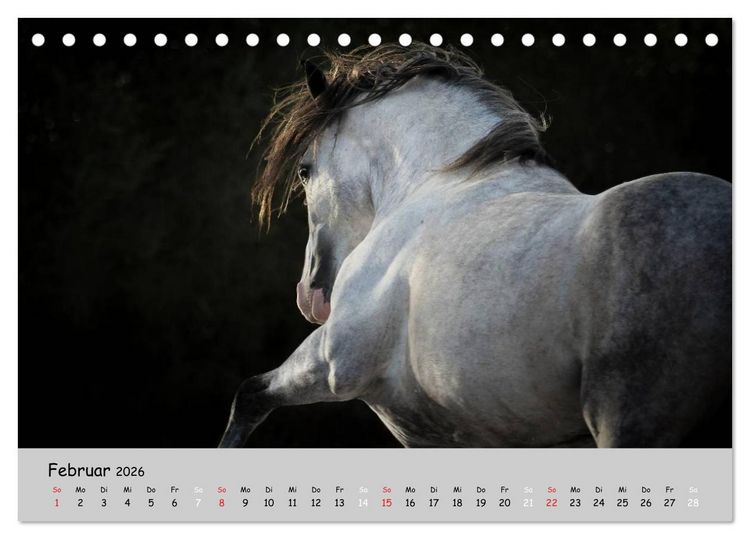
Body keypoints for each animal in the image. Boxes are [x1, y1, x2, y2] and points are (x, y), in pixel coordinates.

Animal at [219, 44, 731, 448]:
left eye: (305, 170)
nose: (311, 295)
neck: (439, 183)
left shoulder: (334, 360)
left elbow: (249, 396)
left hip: (628, 421)